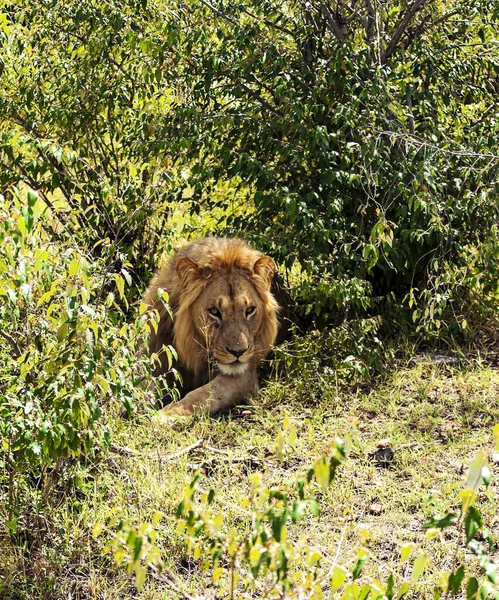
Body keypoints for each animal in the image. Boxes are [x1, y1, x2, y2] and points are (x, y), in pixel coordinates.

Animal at [144, 237, 282, 414]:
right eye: (214, 311)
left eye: (249, 310)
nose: (239, 352)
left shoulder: (246, 376)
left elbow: (200, 395)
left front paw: (165, 414)